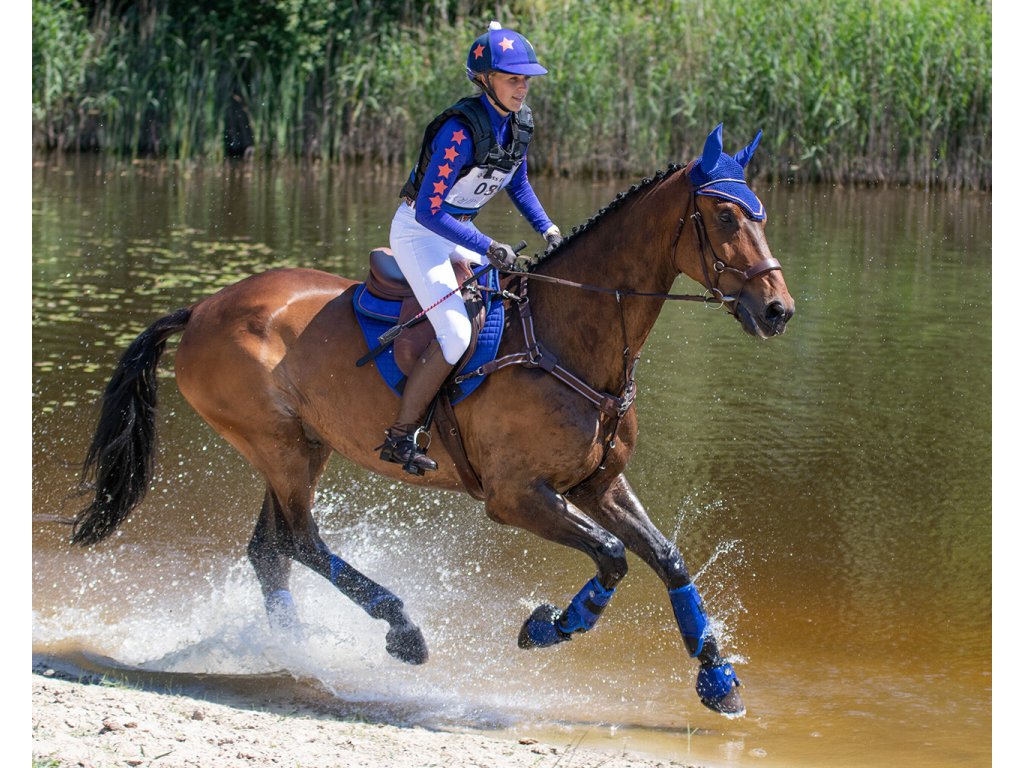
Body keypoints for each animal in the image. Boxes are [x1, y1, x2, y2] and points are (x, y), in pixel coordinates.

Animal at [71, 123, 794, 717]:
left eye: (761, 213)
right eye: (725, 214)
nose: (778, 309)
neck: (568, 337)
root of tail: (201, 308)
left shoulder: (597, 483)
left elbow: (667, 558)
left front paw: (718, 679)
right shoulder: (516, 496)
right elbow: (613, 557)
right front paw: (547, 627)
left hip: (302, 444)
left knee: (271, 550)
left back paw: (293, 651)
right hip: (278, 445)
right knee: (299, 541)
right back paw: (401, 632)